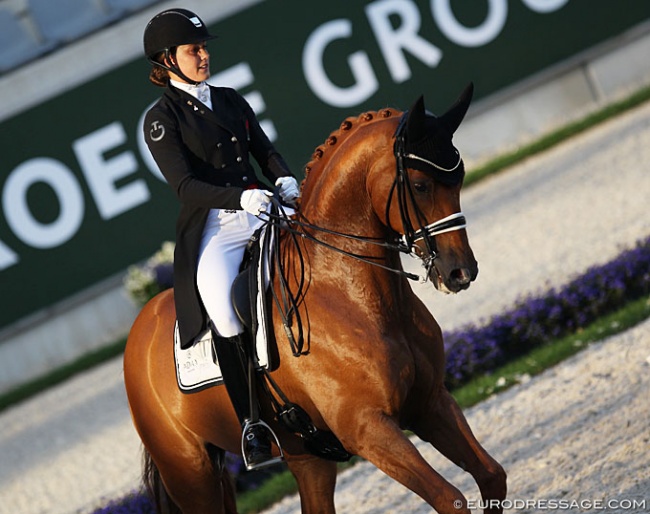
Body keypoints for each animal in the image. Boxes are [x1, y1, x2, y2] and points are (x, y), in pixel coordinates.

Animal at [123, 85, 506, 512]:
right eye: (421, 185)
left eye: (459, 178)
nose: (461, 273)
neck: (349, 295)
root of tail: (139, 330)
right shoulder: (368, 429)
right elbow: (448, 496)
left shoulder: (431, 403)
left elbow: (492, 476)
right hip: (192, 474)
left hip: (306, 456)